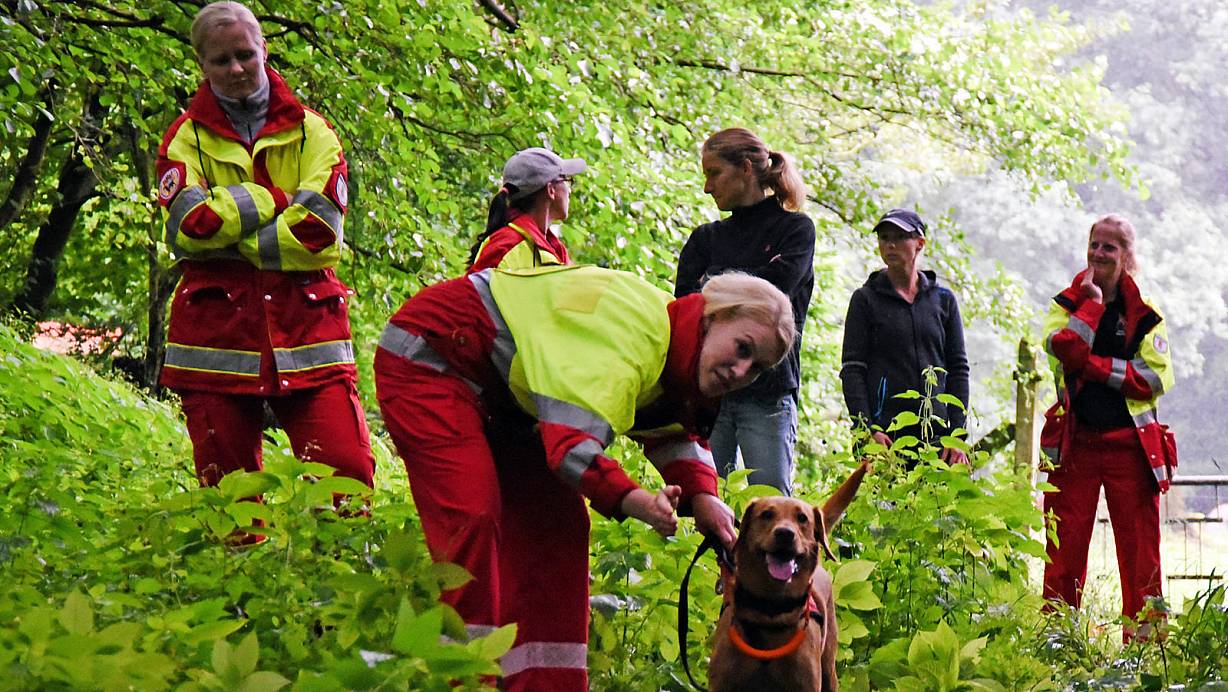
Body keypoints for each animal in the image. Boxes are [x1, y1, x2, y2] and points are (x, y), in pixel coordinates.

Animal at [707, 458, 869, 692]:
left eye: (802, 518)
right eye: (766, 514)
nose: (785, 533)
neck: (770, 613)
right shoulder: (723, 684)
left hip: (829, 670)